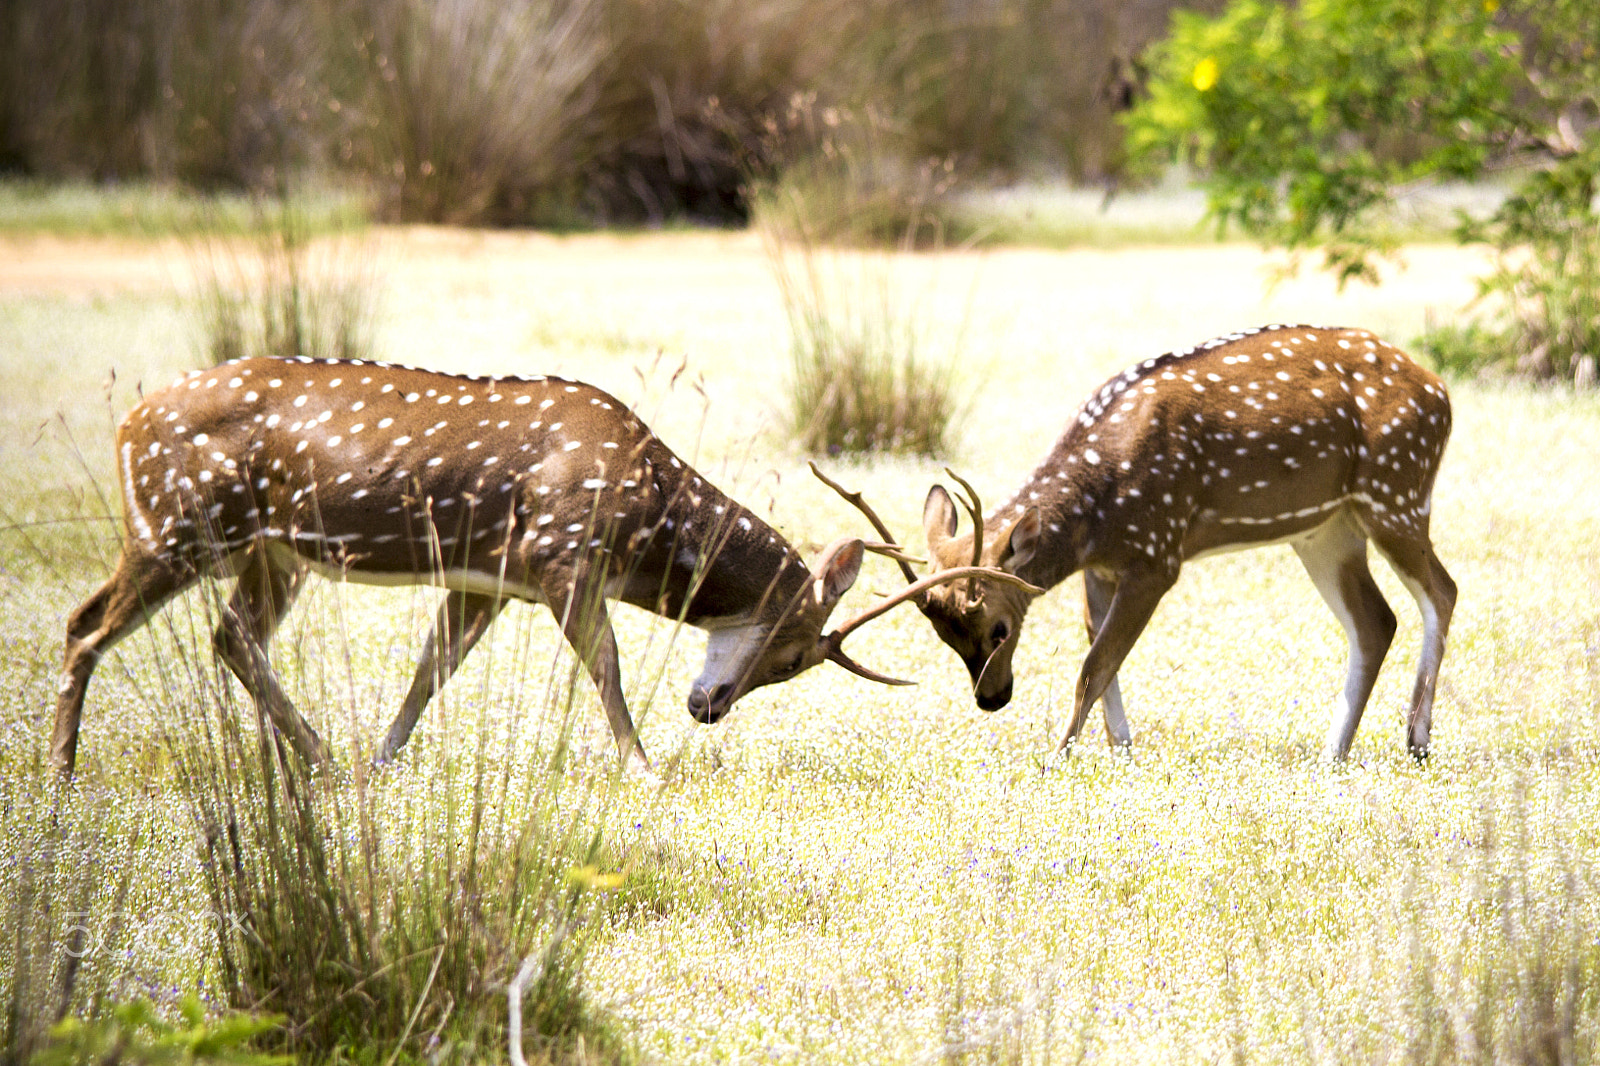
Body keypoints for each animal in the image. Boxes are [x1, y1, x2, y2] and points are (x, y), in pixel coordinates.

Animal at [59, 355, 1011, 771]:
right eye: (792, 649)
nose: (707, 707)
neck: (646, 515)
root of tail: (126, 422)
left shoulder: (485, 581)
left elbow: (431, 670)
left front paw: (382, 763)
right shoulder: (561, 555)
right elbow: (607, 664)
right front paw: (640, 767)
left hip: (268, 551)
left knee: (224, 637)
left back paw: (325, 762)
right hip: (178, 524)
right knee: (85, 627)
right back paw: (62, 776)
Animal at [819, 321, 1459, 755]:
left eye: (999, 628)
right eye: (944, 636)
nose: (991, 698)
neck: (1097, 511)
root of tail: (1442, 392)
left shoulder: (1157, 553)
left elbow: (1093, 666)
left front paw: (1056, 759)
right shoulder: (1102, 568)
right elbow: (1100, 656)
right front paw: (1119, 750)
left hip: (1397, 492)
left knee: (1442, 590)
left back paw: (1417, 740)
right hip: (1326, 528)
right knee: (1376, 620)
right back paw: (1332, 754)